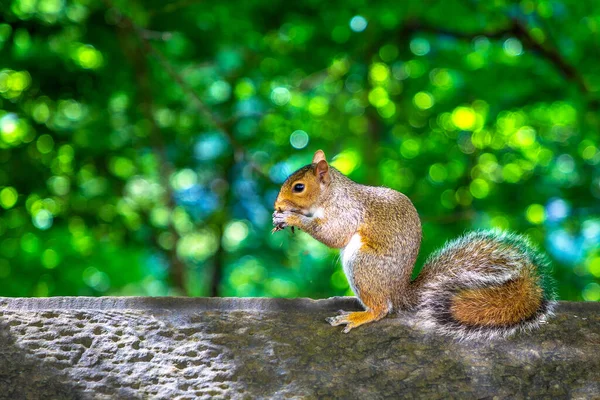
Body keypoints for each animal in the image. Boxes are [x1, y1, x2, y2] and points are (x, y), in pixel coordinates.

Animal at [270, 148, 556, 340]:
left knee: (382, 308)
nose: (277, 205)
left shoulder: (347, 212)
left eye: (298, 187)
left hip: (362, 263)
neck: (332, 194)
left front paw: (291, 217)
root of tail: (399, 292)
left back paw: (359, 316)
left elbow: (334, 234)